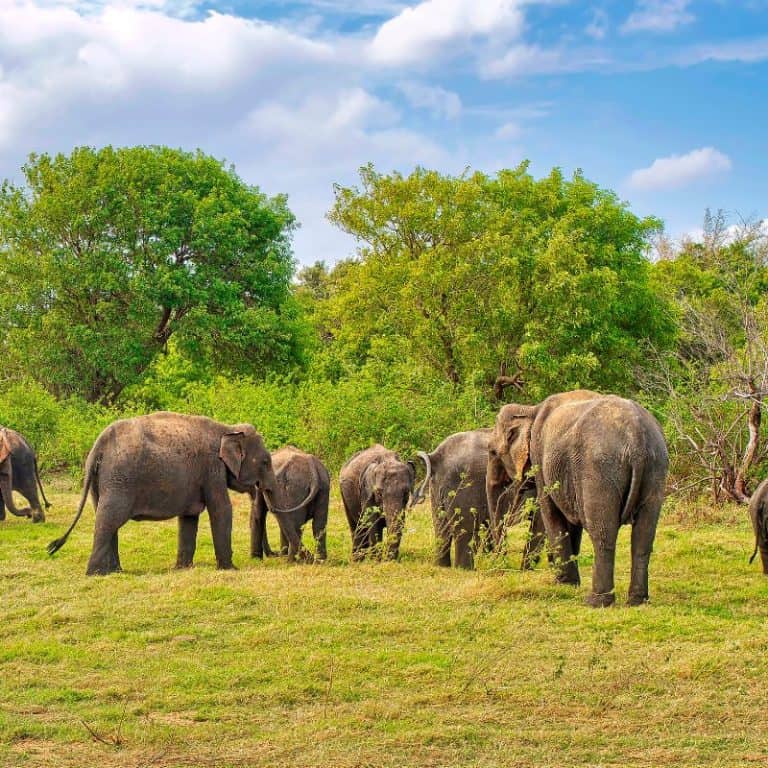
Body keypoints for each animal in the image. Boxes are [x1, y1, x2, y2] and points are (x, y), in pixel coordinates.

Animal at [47, 412, 310, 575]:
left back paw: (115, 572)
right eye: (265, 462)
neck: (227, 429)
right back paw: (96, 574)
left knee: (106, 518)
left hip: (101, 481)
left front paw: (183, 568)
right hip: (120, 479)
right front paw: (230, 569)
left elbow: (189, 517)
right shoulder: (211, 469)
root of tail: (98, 446)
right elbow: (221, 510)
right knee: (109, 519)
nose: (306, 558)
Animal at [487, 390, 669, 607]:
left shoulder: (541, 456)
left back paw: (595, 602)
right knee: (643, 535)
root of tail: (637, 436)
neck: (530, 409)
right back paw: (637, 601)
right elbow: (570, 522)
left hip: (598, 470)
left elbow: (550, 513)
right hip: (656, 467)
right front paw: (570, 583)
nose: (501, 570)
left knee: (602, 533)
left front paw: (562, 584)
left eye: (492, 452)